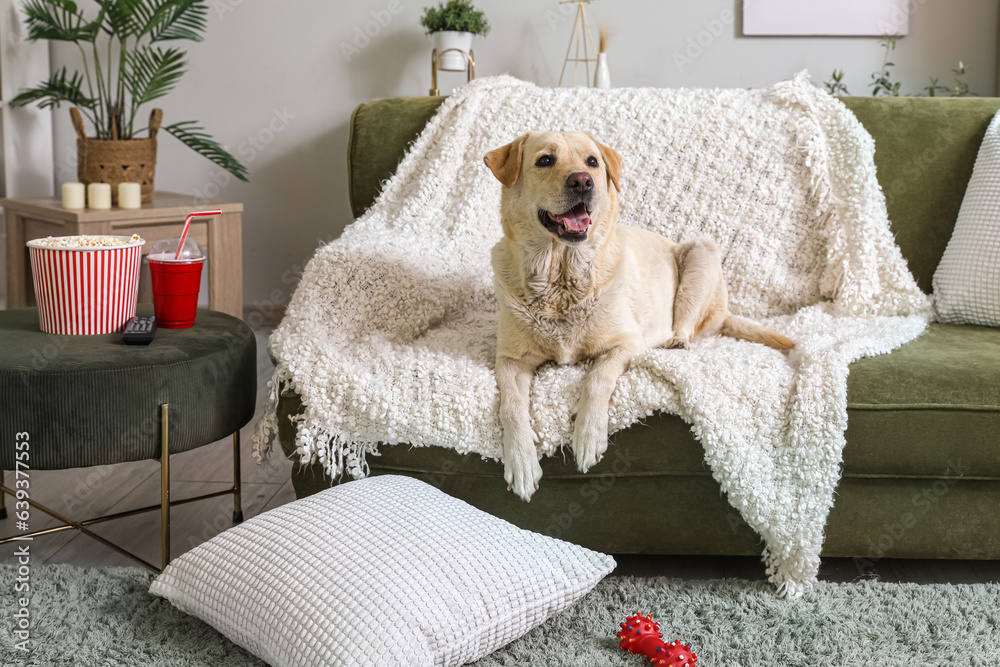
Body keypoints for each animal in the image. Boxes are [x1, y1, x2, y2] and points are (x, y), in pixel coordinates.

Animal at [480, 132, 792, 500]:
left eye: (592, 162)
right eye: (545, 160)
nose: (582, 181)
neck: (562, 278)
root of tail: (725, 311)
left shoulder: (625, 343)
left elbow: (597, 378)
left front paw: (588, 434)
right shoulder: (510, 360)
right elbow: (512, 406)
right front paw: (522, 462)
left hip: (700, 252)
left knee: (687, 332)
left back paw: (674, 343)